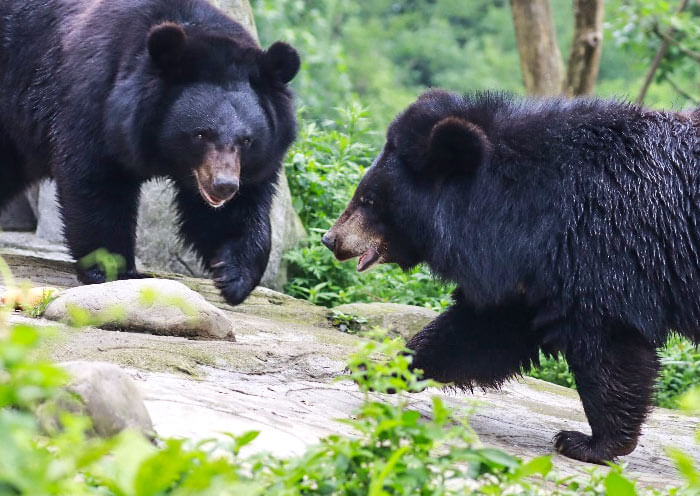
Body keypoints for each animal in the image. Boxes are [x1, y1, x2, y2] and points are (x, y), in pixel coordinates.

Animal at [0, 0, 299, 306]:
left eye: (246, 140)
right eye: (200, 134)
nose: (224, 186)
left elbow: (238, 209)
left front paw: (233, 276)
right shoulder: (95, 99)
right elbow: (99, 181)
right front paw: (115, 271)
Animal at [322, 89, 700, 464]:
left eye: (369, 200)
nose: (331, 239)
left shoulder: (603, 247)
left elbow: (609, 342)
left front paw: (586, 443)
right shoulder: (532, 272)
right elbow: (480, 331)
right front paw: (376, 370)